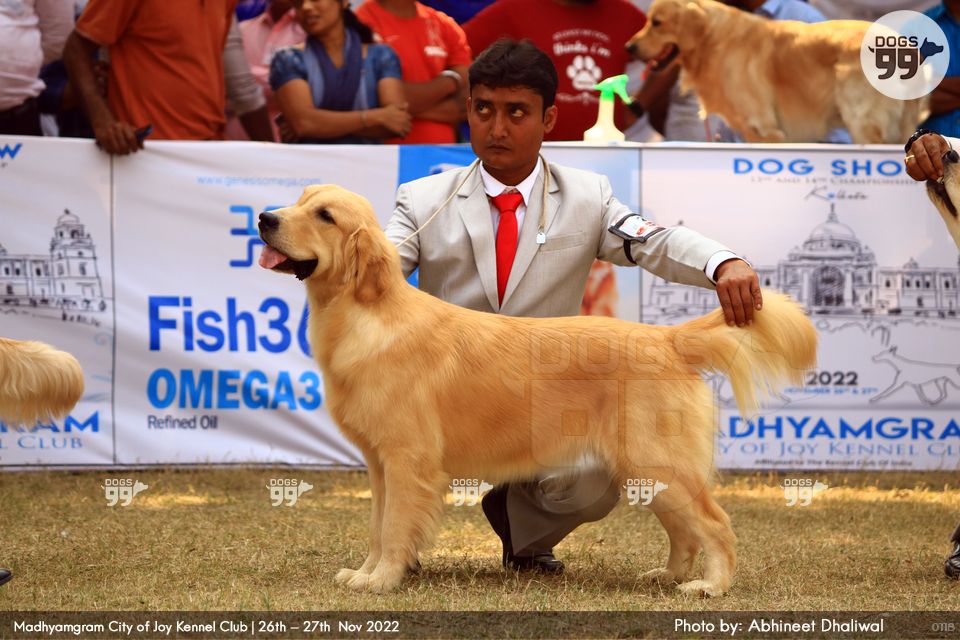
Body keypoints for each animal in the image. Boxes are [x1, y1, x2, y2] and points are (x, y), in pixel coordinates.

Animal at [258, 184, 818, 596]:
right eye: (300, 199)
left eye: (324, 215)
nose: (264, 217)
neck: (366, 314)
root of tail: (667, 338)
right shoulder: (379, 463)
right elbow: (377, 527)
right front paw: (366, 572)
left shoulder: (406, 459)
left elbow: (394, 528)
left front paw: (383, 581)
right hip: (647, 471)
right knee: (684, 530)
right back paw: (669, 575)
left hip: (657, 461)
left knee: (716, 524)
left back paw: (711, 587)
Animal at [625, 0, 926, 143]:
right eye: (648, 21)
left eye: (657, 23)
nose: (629, 47)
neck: (712, 41)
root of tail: (908, 47)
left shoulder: (765, 129)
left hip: (865, 126)